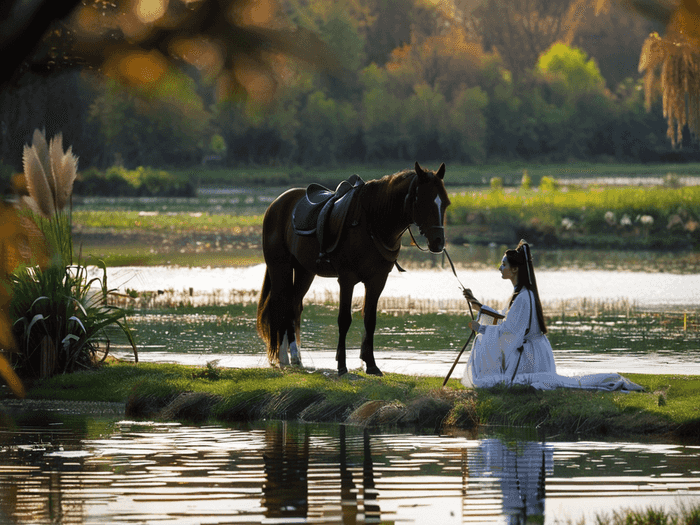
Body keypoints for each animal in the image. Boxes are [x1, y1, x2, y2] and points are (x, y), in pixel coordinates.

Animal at [258, 162, 448, 374]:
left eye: (445, 203)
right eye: (423, 201)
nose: (438, 242)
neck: (372, 222)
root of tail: (276, 204)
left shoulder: (377, 280)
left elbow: (370, 320)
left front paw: (371, 365)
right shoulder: (346, 279)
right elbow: (344, 319)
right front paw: (342, 365)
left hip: (304, 270)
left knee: (293, 305)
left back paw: (296, 358)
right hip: (279, 267)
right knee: (279, 305)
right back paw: (282, 358)